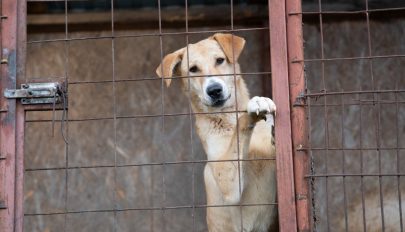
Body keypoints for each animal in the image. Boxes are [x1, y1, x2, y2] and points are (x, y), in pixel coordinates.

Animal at [155, 33, 278, 232]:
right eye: (193, 69)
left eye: (220, 60)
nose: (214, 90)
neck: (229, 118)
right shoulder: (228, 181)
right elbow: (241, 125)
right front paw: (252, 109)